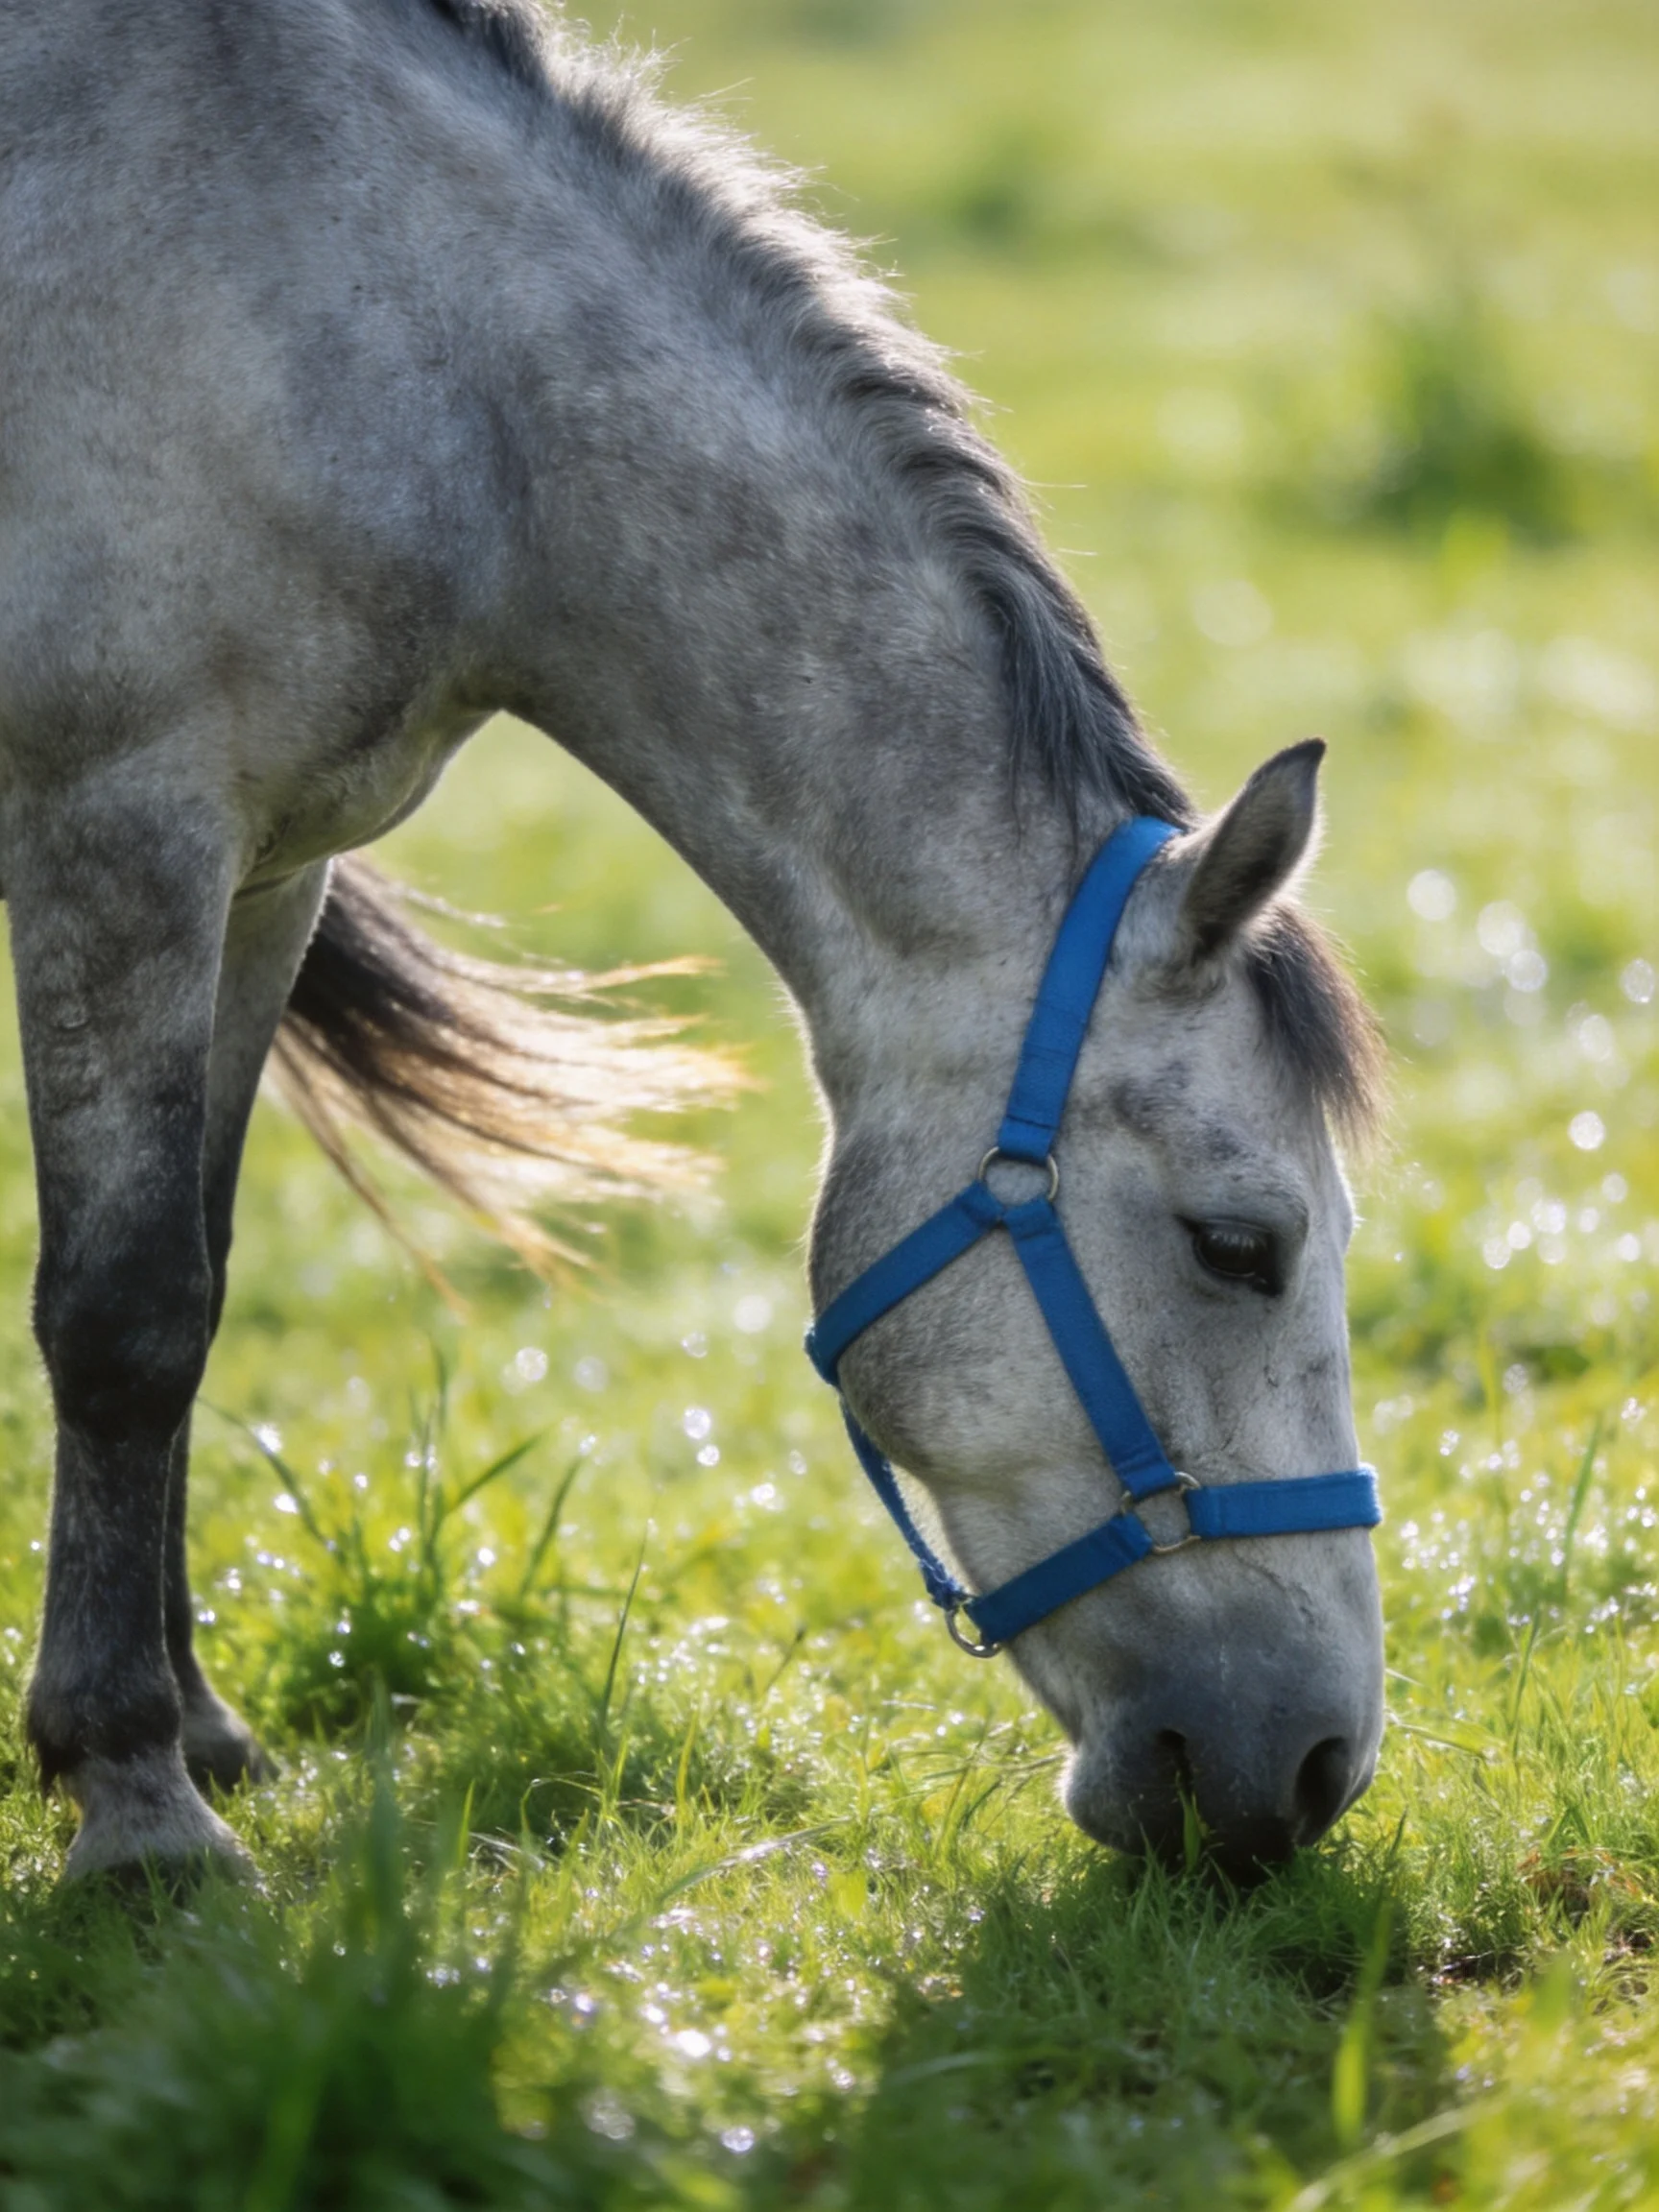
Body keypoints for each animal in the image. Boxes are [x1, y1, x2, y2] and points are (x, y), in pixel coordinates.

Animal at [0, 0, 1386, 1881]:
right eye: (1239, 1244)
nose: (1313, 1768)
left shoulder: (262, 874)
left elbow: (194, 1286)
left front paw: (196, 1728)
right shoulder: (117, 830)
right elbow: (123, 1313)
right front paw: (138, 1803)